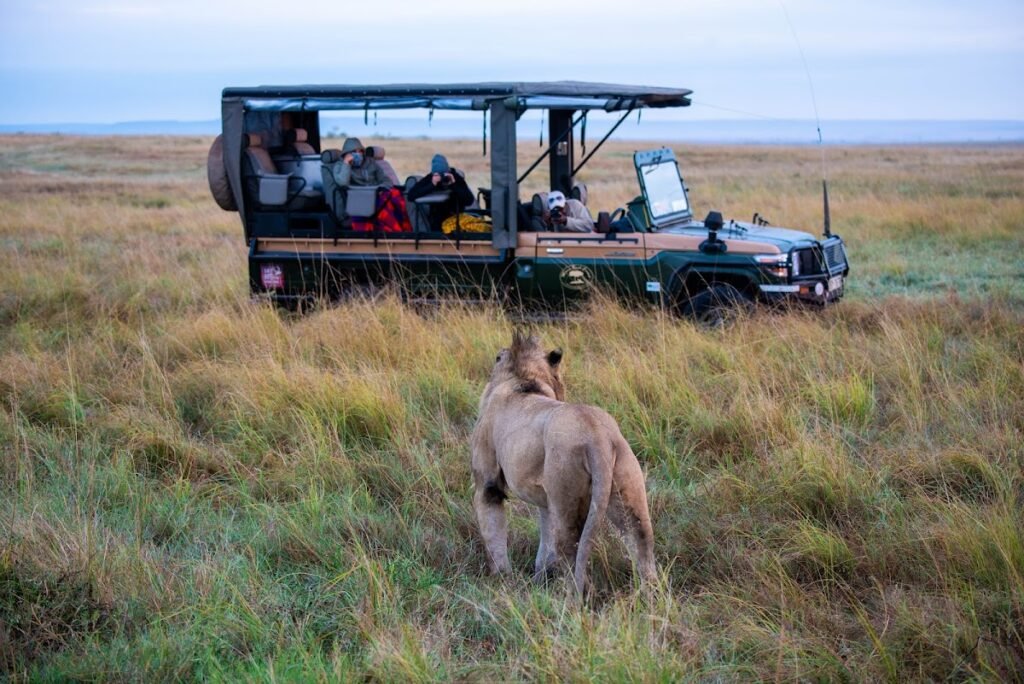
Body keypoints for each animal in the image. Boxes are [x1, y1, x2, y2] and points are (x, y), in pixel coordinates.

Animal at [470, 332, 656, 594]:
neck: (525, 377)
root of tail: (596, 434)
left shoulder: (488, 483)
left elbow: (494, 535)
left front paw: (502, 580)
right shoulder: (546, 500)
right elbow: (544, 543)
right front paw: (538, 579)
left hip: (566, 494)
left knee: (572, 554)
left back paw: (568, 597)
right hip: (626, 488)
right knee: (641, 542)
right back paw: (652, 596)